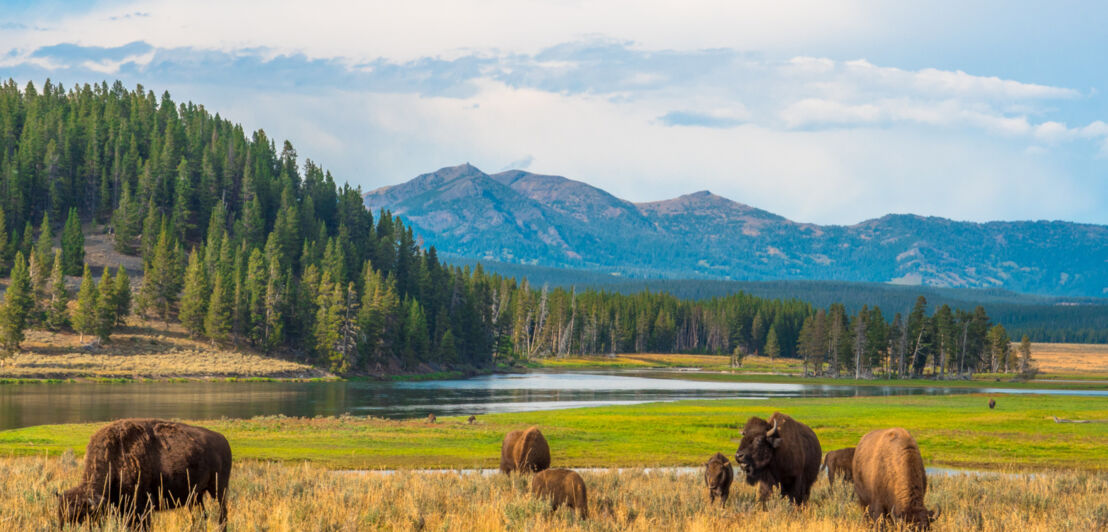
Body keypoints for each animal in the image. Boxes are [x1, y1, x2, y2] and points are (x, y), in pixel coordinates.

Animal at [56, 418, 231, 532]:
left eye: (81, 518)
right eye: (60, 517)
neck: (116, 456)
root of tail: (223, 440)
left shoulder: (142, 506)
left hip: (218, 490)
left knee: (222, 514)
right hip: (196, 496)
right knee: (201, 516)